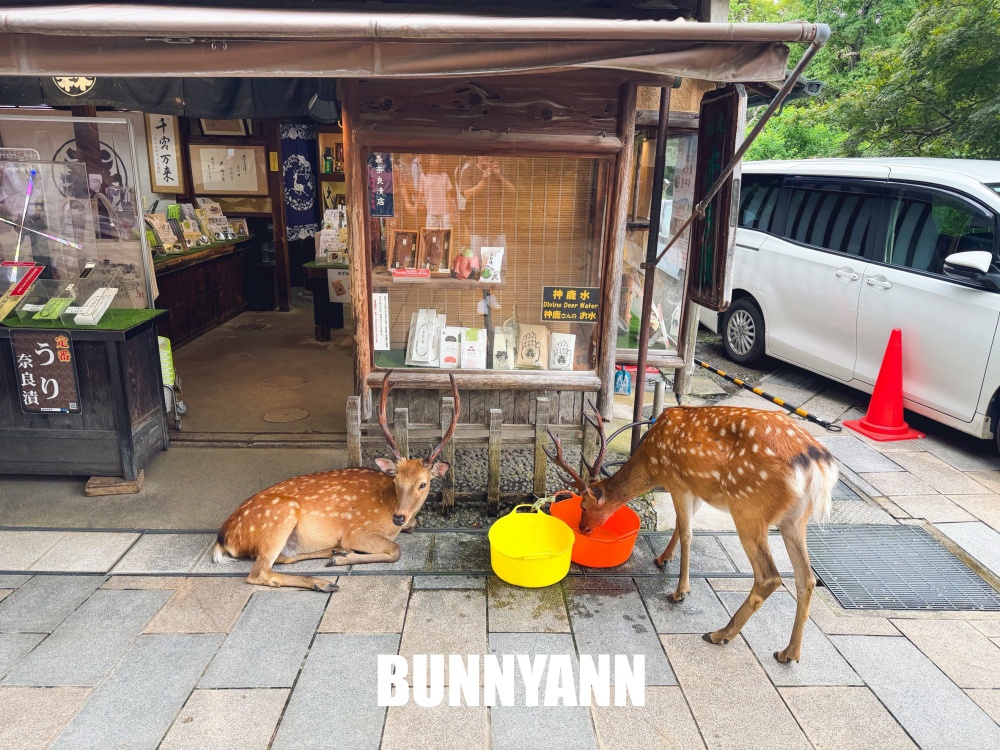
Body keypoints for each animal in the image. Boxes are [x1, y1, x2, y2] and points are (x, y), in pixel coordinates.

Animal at [212, 371, 459, 591]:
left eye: (422, 484)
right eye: (396, 481)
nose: (398, 517)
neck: (388, 510)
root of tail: (224, 538)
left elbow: (412, 525)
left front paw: (342, 555)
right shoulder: (357, 531)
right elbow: (396, 550)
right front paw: (346, 557)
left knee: (282, 559)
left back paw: (332, 554)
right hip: (278, 518)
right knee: (259, 571)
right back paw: (323, 580)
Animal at [546, 402, 837, 664]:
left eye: (584, 506)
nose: (582, 528)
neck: (651, 463)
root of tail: (818, 466)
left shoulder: (678, 482)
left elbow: (687, 533)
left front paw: (680, 591)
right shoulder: (694, 488)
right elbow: (679, 525)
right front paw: (662, 558)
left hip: (748, 507)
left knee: (769, 576)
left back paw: (720, 634)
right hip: (795, 518)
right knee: (806, 578)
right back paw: (789, 653)